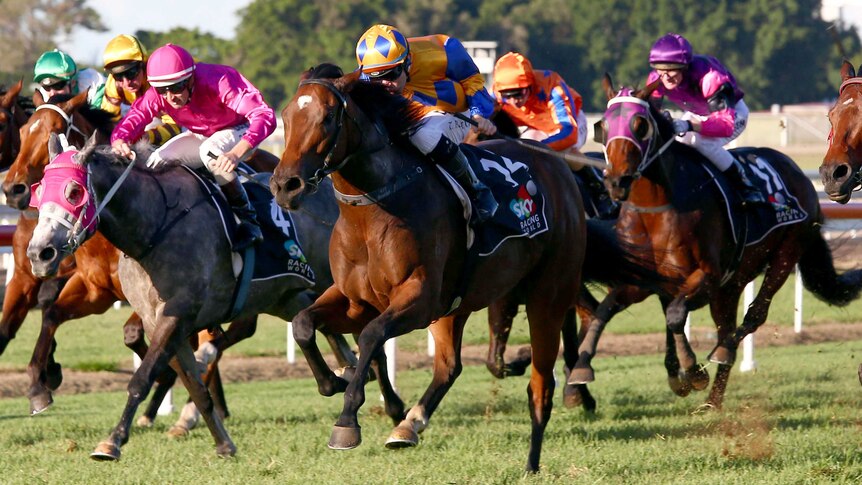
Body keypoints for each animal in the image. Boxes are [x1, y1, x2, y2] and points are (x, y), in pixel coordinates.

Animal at [26, 133, 404, 462]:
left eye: (74, 190)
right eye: (39, 191)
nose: (39, 253)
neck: (156, 226)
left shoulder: (177, 314)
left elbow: (141, 379)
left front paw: (112, 441)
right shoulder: (165, 322)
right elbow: (196, 388)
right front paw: (223, 444)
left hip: (343, 288)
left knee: (370, 345)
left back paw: (391, 409)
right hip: (286, 296)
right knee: (315, 328)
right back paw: (342, 374)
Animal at [268, 73, 588, 472]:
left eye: (328, 117)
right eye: (285, 116)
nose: (285, 185)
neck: (374, 211)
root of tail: (559, 168)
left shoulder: (419, 298)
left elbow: (371, 335)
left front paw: (347, 421)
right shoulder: (354, 300)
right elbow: (304, 323)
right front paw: (333, 381)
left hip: (549, 294)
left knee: (541, 385)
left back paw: (532, 461)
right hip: (457, 305)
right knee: (449, 367)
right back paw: (409, 425)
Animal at [580, 73, 862, 408]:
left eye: (639, 125)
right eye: (603, 126)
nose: (616, 181)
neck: (657, 209)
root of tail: (801, 176)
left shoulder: (707, 276)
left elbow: (675, 315)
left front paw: (692, 371)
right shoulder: (647, 280)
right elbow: (606, 308)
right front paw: (580, 371)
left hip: (784, 254)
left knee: (753, 317)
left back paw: (721, 357)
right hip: (733, 281)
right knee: (725, 324)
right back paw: (713, 398)